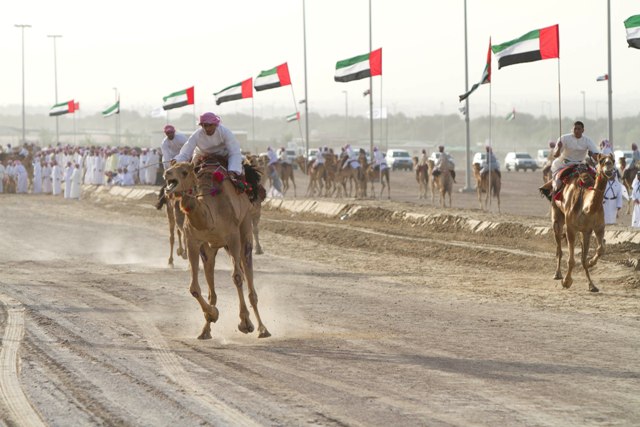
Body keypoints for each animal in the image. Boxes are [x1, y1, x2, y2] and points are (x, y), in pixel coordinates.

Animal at [162, 160, 270, 342]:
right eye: (172, 167)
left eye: (184, 172)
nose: (166, 173)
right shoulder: (194, 241)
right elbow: (194, 288)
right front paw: (213, 314)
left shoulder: (232, 238)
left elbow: (237, 277)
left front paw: (245, 322)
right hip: (210, 249)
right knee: (212, 288)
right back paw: (205, 331)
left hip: (244, 228)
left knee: (247, 271)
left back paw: (262, 329)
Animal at [552, 155, 616, 294]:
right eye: (601, 161)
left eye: (613, 161)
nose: (609, 169)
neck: (587, 208)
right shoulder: (571, 228)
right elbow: (571, 260)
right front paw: (566, 282)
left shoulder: (594, 228)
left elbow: (599, 249)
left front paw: (592, 280)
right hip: (557, 216)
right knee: (559, 247)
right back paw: (557, 274)